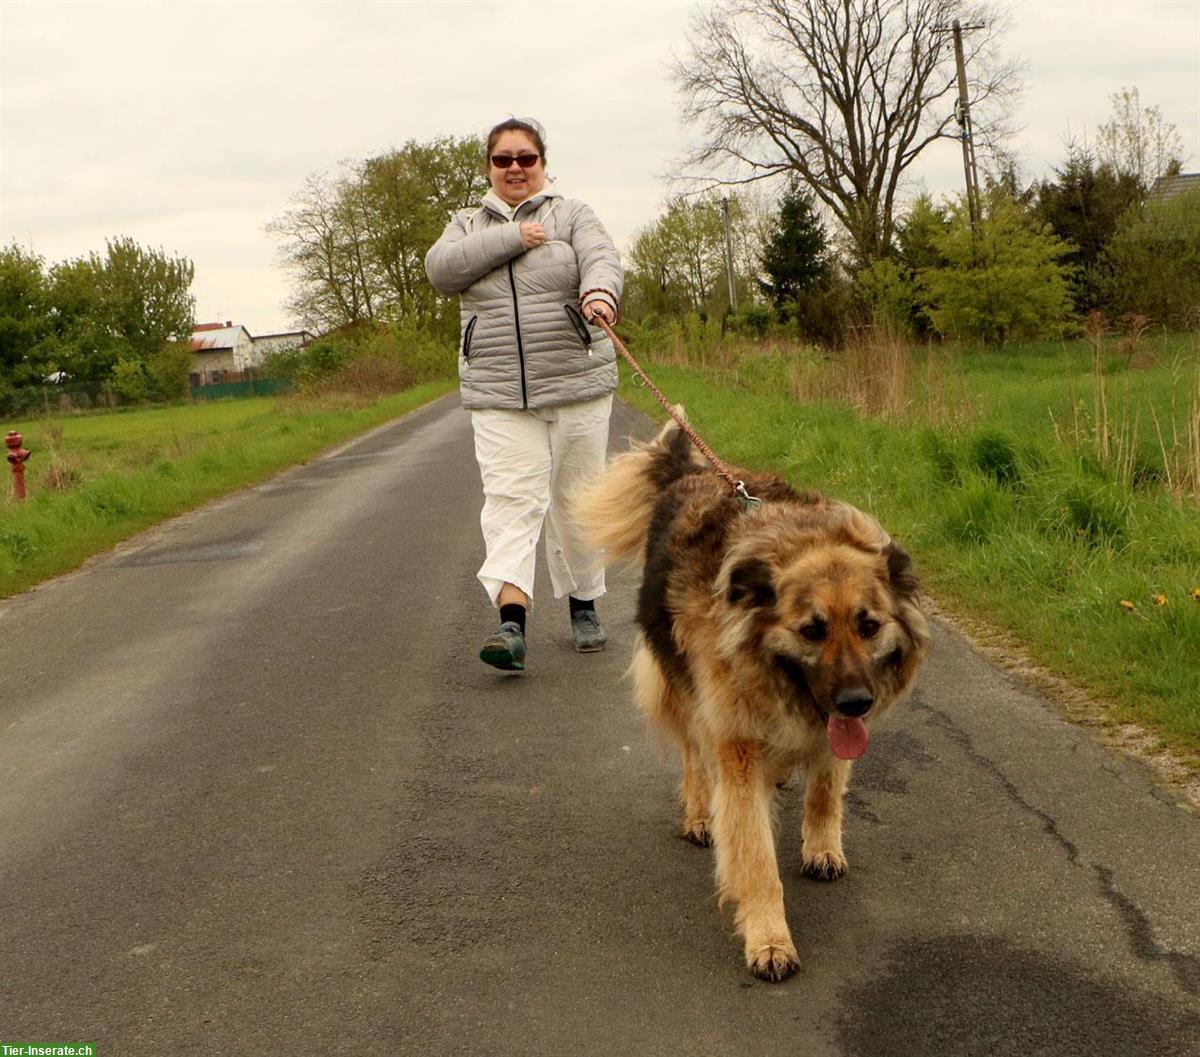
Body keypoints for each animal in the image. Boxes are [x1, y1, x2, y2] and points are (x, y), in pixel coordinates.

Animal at [576, 412, 931, 983]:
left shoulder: (829, 734)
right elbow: (756, 856)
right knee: (694, 756)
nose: (857, 703)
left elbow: (825, 792)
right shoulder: (737, 742)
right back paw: (700, 814)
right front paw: (769, 939)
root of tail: (689, 475)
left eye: (869, 626)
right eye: (811, 631)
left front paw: (821, 847)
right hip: (681, 688)